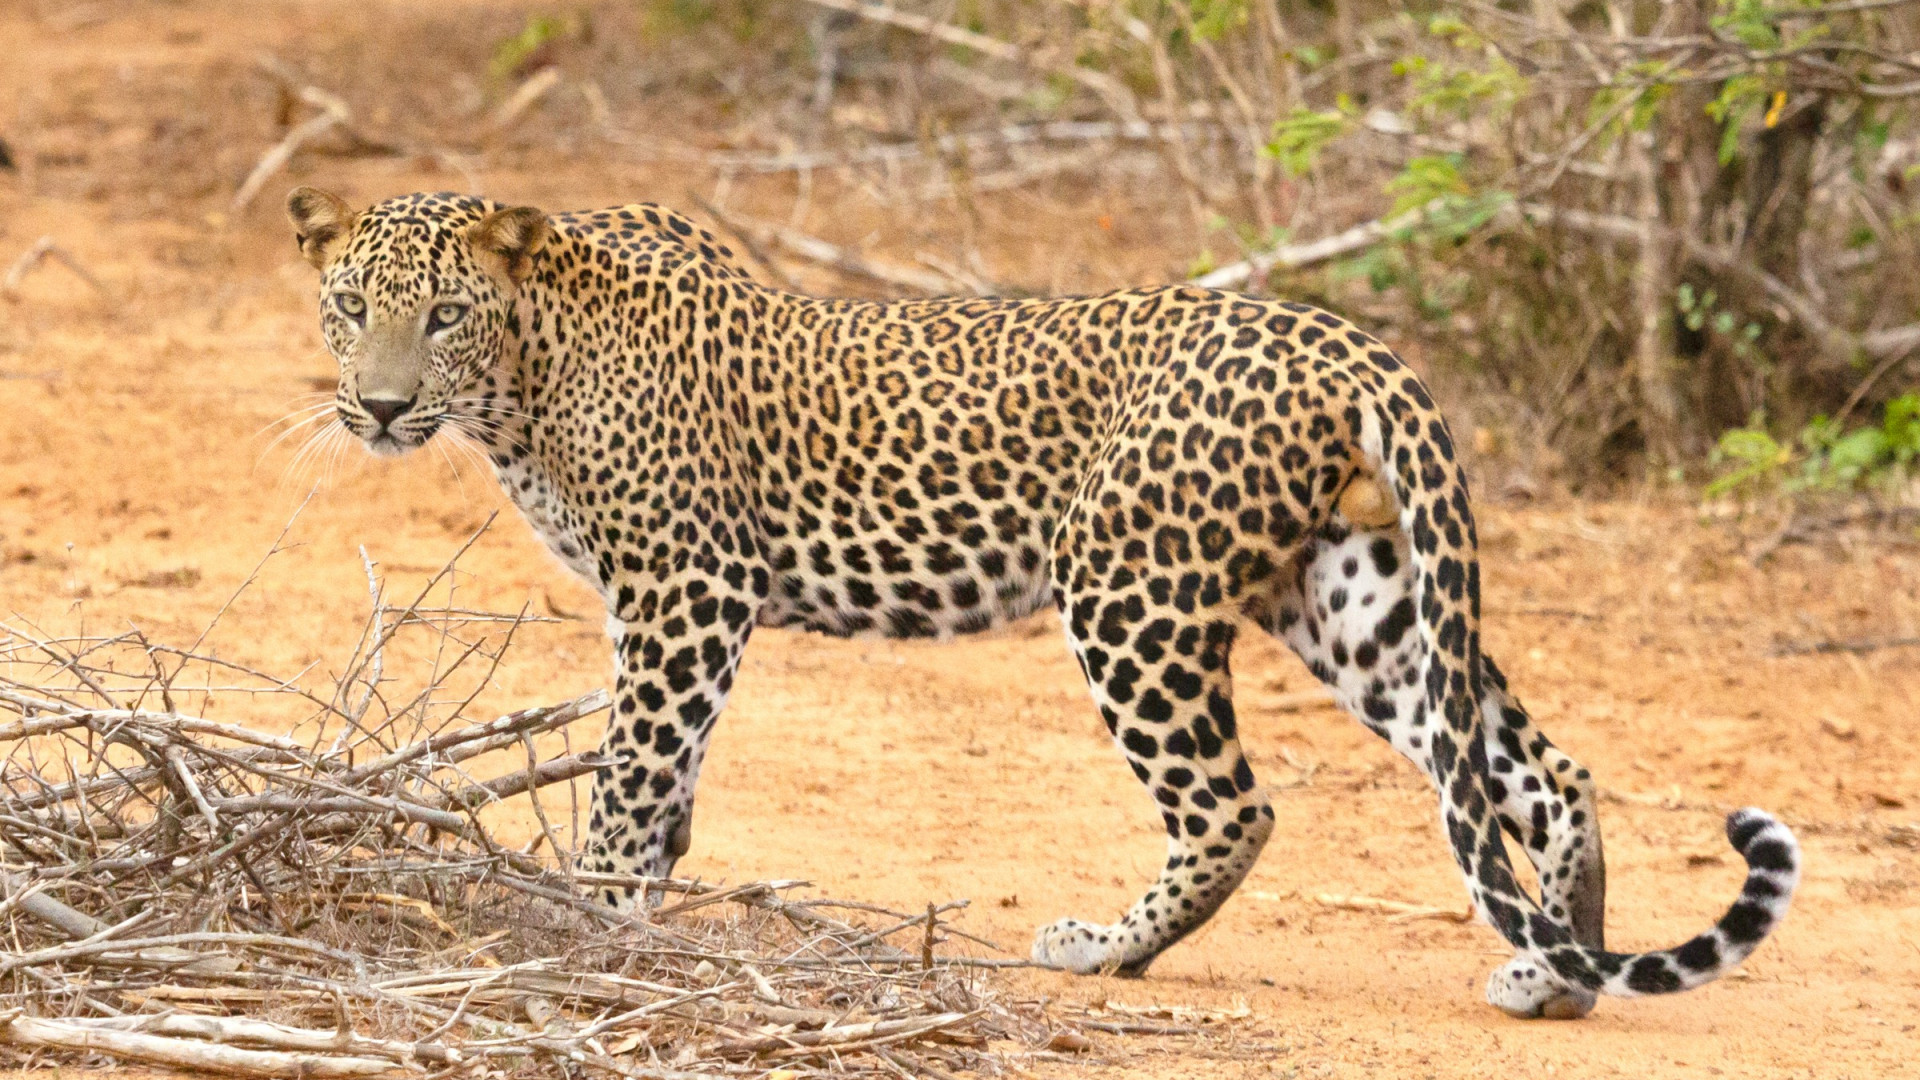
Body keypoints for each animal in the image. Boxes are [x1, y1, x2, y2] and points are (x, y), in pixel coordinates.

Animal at [287, 187, 1801, 1020]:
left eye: (443, 316)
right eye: (349, 304)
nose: (381, 406)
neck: (525, 378)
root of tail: (1341, 336)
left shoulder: (685, 588)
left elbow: (631, 771)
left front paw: (589, 922)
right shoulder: (673, 606)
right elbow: (668, 782)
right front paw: (638, 910)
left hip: (1127, 585)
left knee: (1235, 805)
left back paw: (1099, 952)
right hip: (1352, 596)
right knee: (1530, 772)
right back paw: (1558, 971)